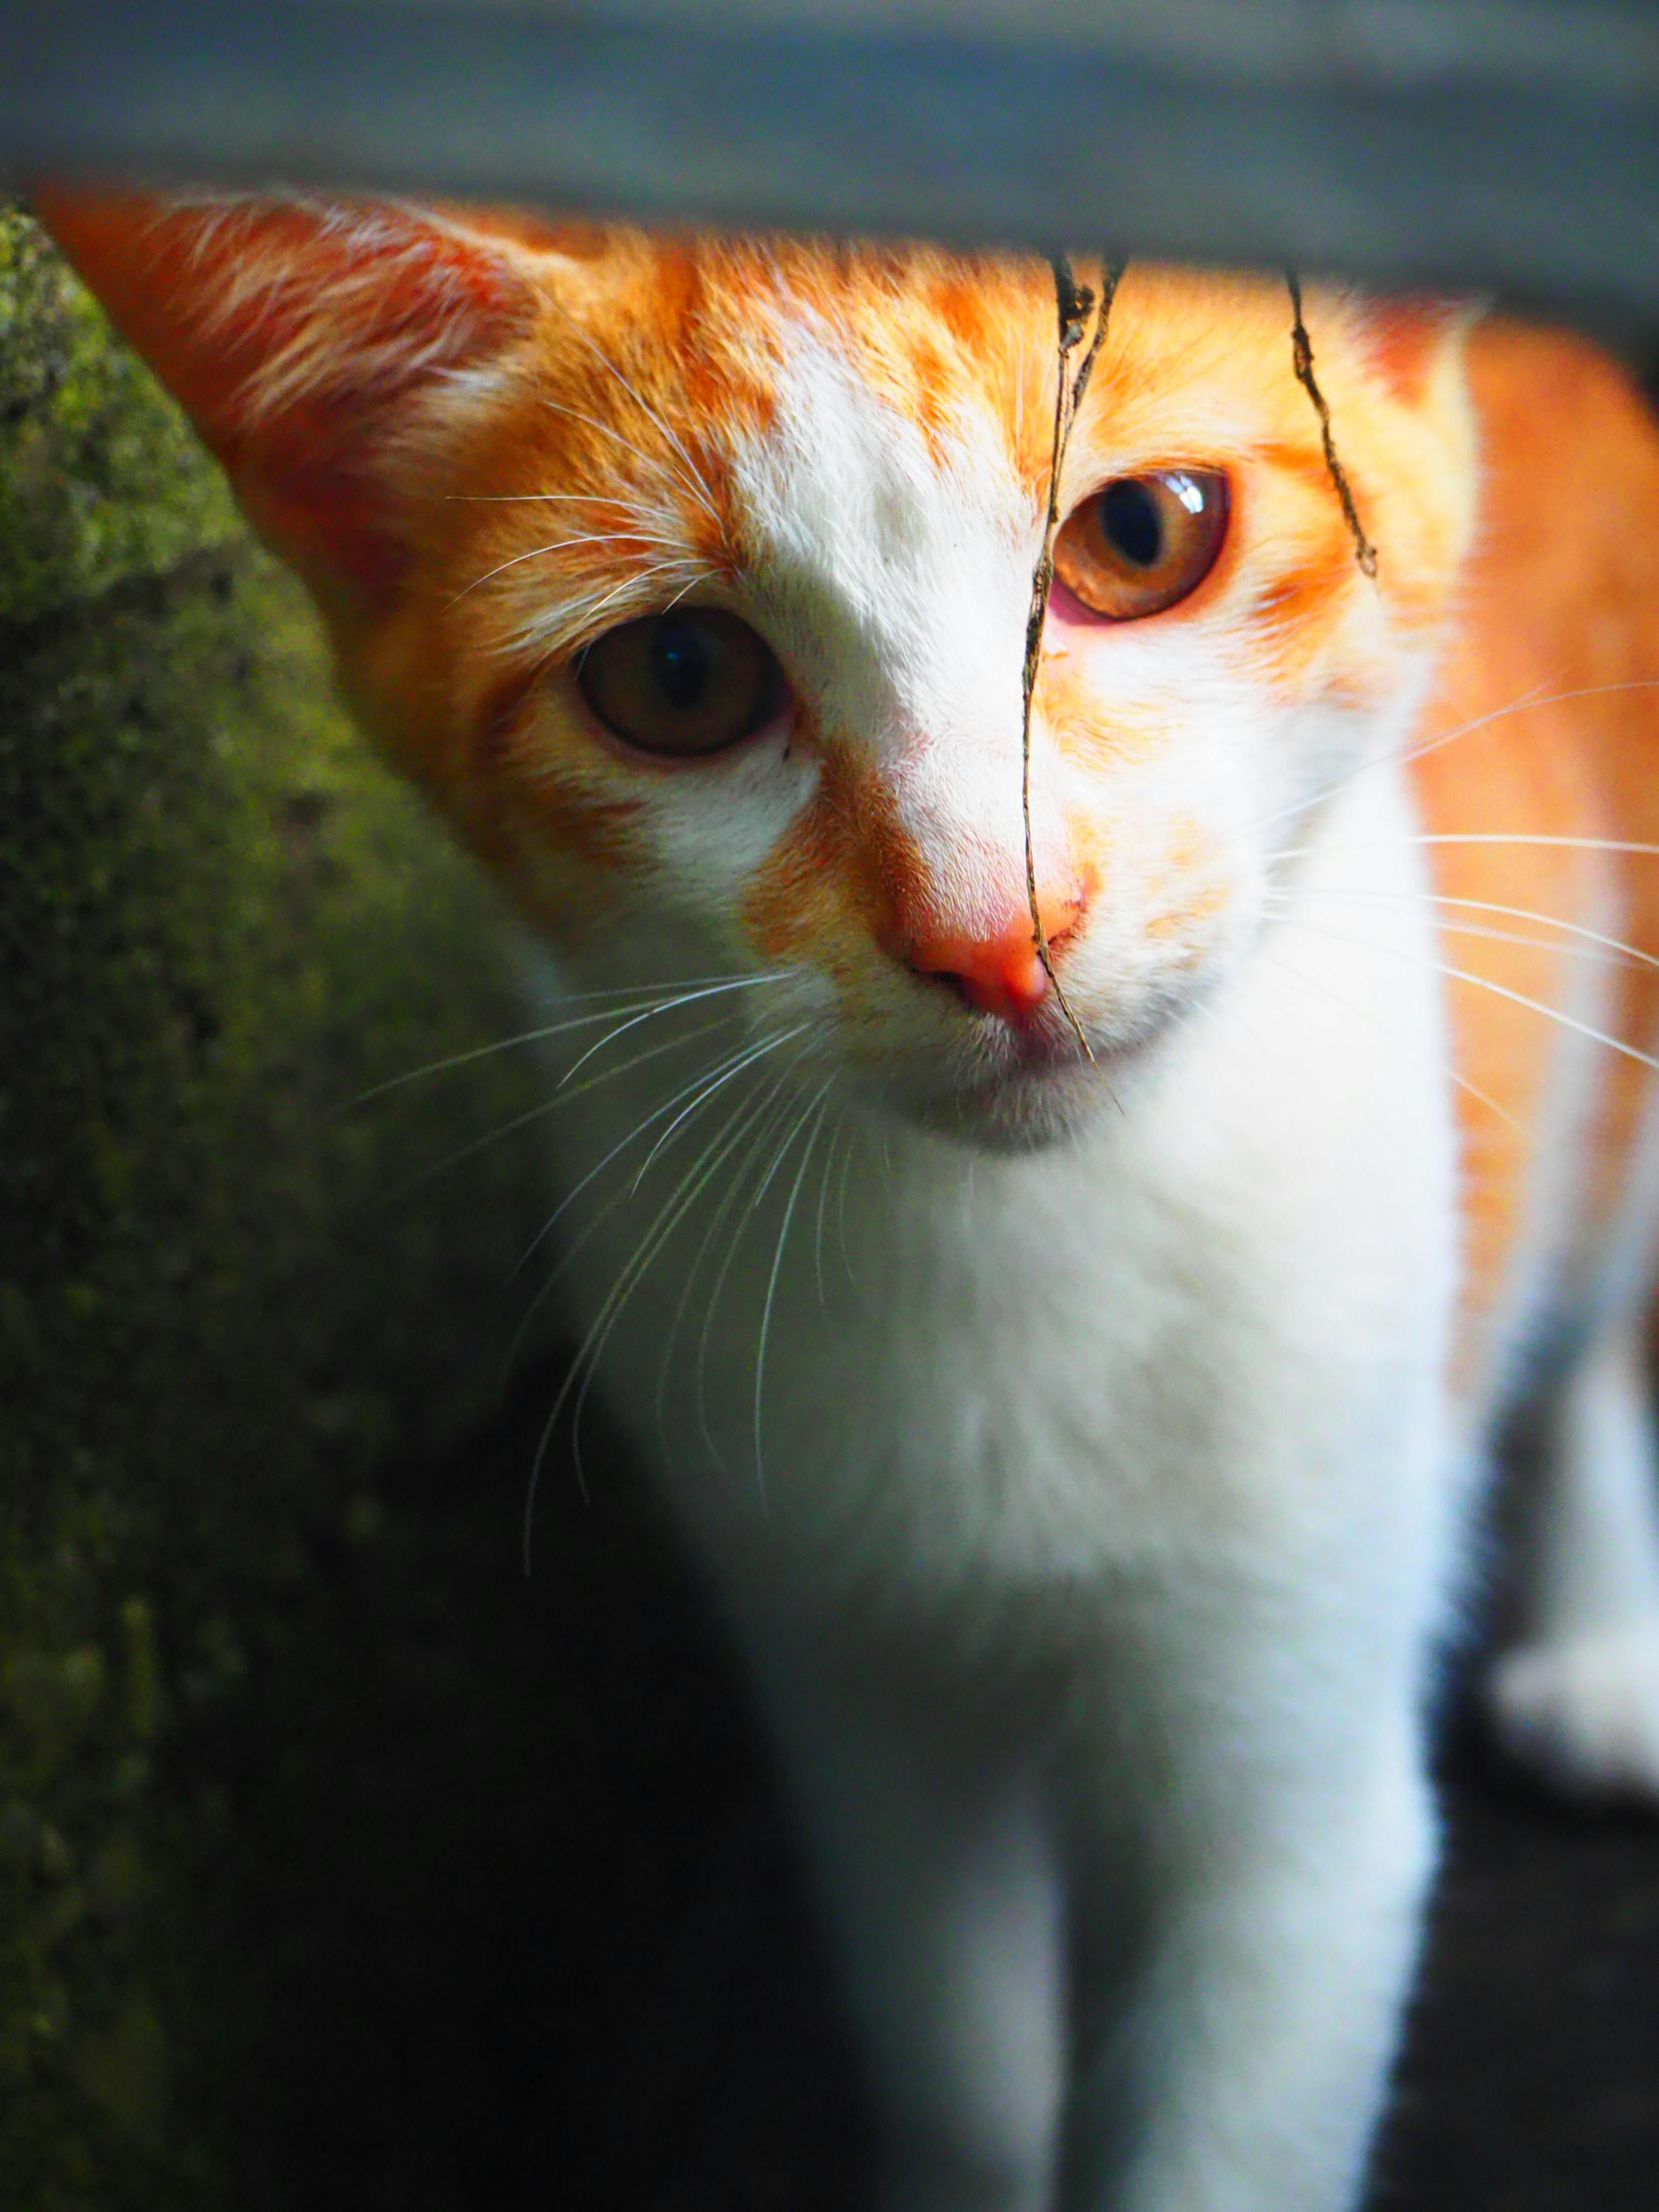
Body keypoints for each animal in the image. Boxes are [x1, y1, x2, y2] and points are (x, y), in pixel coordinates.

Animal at [32, 190, 1659, 2212]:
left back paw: (1601, 1644)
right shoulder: (838, 1663)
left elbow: (1236, 2058)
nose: (995, 926)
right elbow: (946, 2028)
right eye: (676, 680)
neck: (1014, 1241)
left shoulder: (1284, 1770)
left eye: (1143, 536)